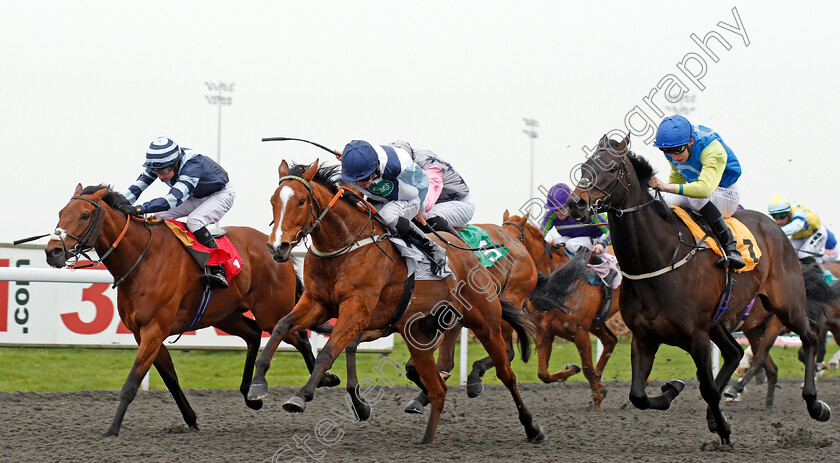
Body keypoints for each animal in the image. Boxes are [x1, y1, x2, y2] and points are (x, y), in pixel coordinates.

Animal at [44, 183, 336, 436]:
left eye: (84, 215)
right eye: (60, 213)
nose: (52, 251)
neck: (142, 259)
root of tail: (276, 247)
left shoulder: (153, 330)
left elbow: (132, 381)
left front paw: (112, 430)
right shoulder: (144, 333)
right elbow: (170, 377)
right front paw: (191, 419)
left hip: (270, 311)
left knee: (296, 336)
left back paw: (324, 379)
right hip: (224, 315)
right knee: (254, 334)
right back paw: (250, 393)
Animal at [246, 160, 544, 446]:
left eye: (300, 201)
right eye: (273, 200)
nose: (278, 247)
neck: (346, 245)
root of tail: (476, 257)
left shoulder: (356, 309)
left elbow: (328, 352)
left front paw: (302, 396)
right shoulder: (318, 303)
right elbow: (282, 326)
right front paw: (257, 385)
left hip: (485, 323)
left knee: (507, 374)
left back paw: (530, 426)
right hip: (423, 332)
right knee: (435, 376)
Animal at [498, 211, 616, 410]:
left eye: (515, 239)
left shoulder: (580, 332)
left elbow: (587, 368)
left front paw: (597, 399)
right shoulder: (544, 332)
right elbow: (543, 374)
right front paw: (574, 370)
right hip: (597, 322)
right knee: (610, 340)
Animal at [564, 135, 828, 446]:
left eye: (612, 167)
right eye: (584, 166)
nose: (576, 203)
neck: (659, 258)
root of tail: (775, 227)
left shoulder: (697, 335)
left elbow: (708, 389)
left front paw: (724, 430)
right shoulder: (643, 336)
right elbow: (638, 395)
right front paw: (673, 390)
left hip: (786, 304)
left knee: (809, 336)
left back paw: (815, 403)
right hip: (721, 320)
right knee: (735, 352)